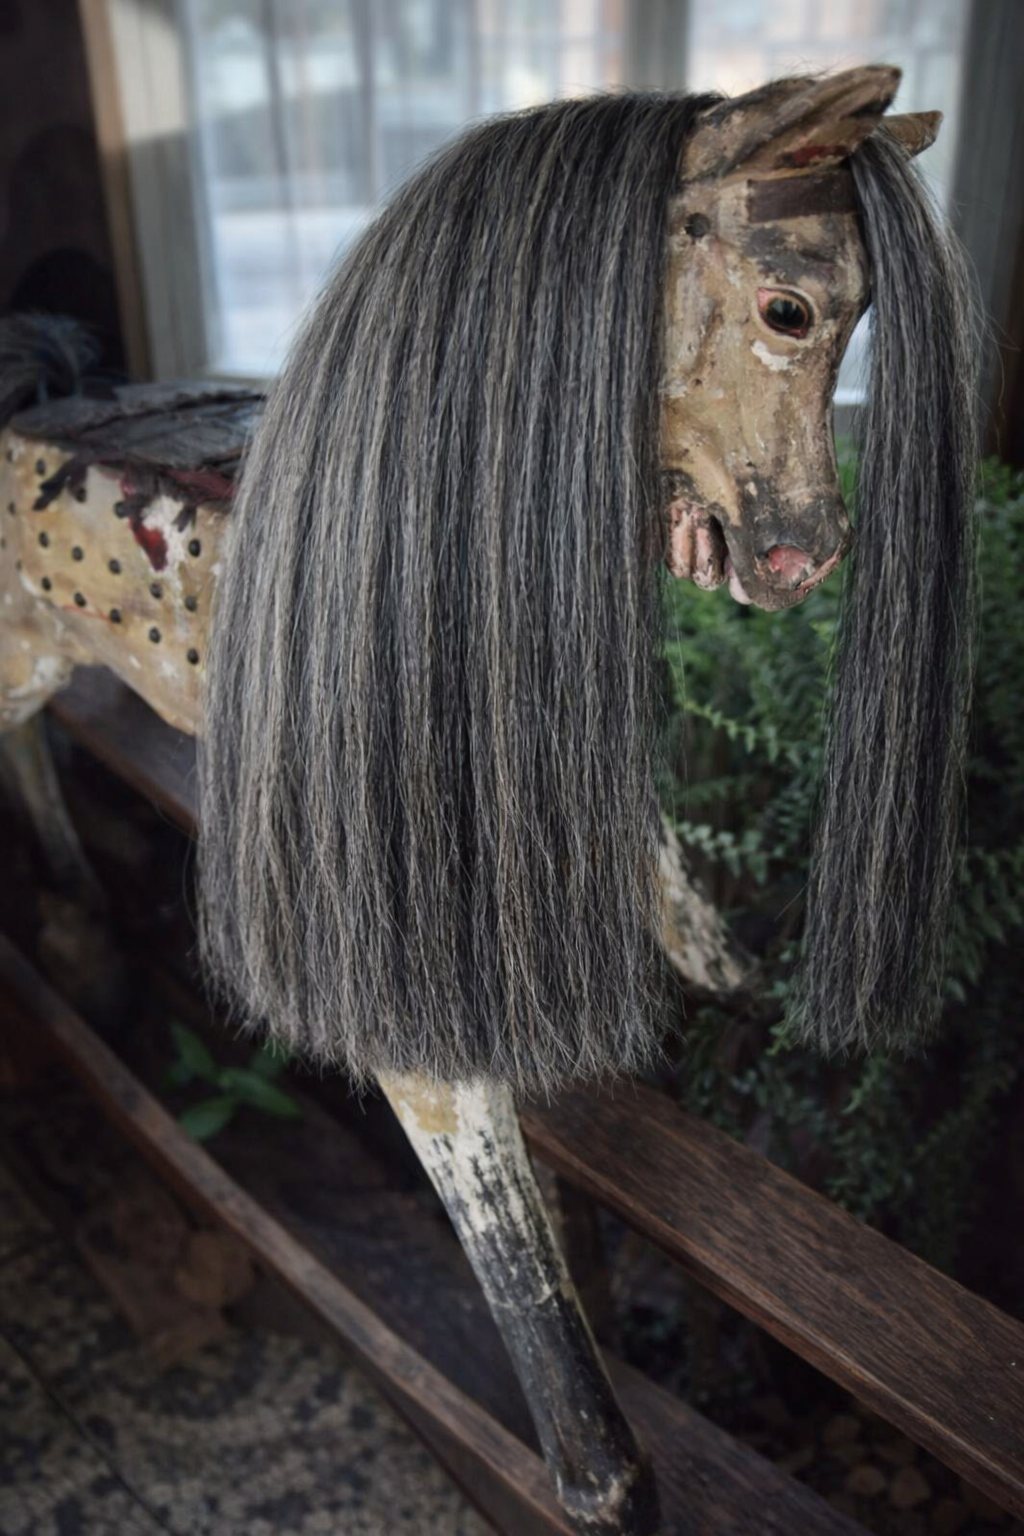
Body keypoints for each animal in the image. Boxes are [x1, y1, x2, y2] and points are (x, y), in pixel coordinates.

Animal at [0, 68, 975, 1535]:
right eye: (791, 309)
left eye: (862, 317)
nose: (798, 556)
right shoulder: (408, 1006)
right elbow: (586, 1423)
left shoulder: (613, 863)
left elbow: (712, 1017)